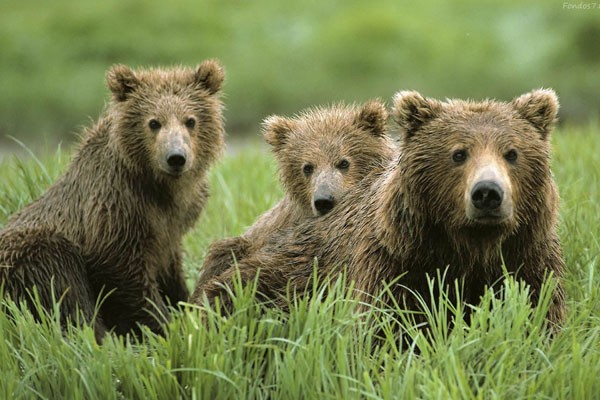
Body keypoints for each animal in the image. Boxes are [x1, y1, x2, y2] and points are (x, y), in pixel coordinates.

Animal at [0, 59, 225, 338]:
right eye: (154, 122)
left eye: (190, 120)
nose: (176, 157)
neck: (161, 189)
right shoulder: (117, 206)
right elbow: (121, 273)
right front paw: (164, 326)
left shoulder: (171, 226)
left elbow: (170, 270)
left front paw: (184, 305)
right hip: (31, 254)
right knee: (61, 285)